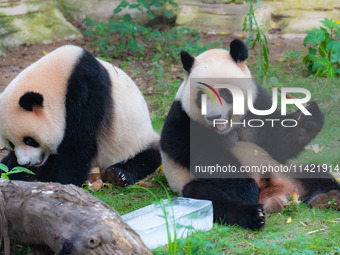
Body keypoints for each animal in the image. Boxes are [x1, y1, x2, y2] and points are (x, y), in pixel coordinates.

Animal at [0, 45, 161, 185]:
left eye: (29, 140)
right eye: (11, 144)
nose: (25, 163)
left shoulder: (86, 95)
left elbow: (77, 146)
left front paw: (61, 181)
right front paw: (18, 170)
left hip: (135, 140)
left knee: (148, 157)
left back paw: (119, 174)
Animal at [160, 38, 340, 230]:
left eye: (225, 92)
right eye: (202, 95)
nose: (213, 116)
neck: (228, 128)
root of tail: (274, 196)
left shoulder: (257, 104)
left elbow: (277, 144)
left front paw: (307, 117)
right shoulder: (183, 117)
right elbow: (204, 155)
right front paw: (246, 189)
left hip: (286, 170)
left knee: (315, 172)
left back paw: (330, 197)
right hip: (190, 186)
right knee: (210, 198)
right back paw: (253, 214)